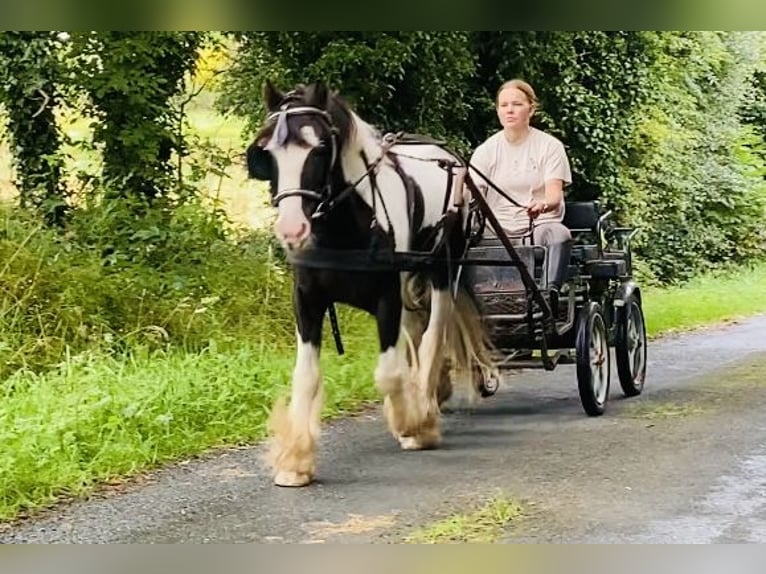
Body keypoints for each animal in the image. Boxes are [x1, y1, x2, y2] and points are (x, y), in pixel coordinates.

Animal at [246, 80, 498, 486]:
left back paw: (424, 406)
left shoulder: (386, 298)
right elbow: (306, 376)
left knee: (434, 335)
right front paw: (295, 460)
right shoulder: (308, 300)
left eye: (319, 148)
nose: (291, 229)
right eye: (266, 152)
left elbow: (390, 373)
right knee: (416, 331)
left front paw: (413, 424)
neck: (346, 226)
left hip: (442, 271)